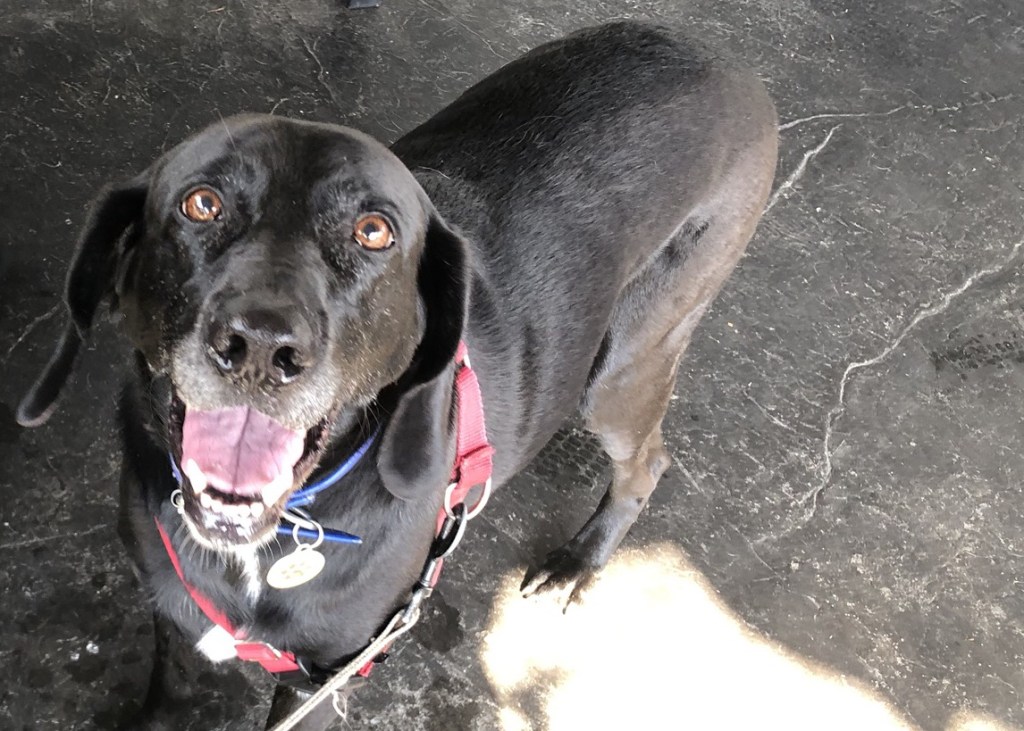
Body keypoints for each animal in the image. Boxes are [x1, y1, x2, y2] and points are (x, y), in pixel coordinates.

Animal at [17, 21, 777, 730]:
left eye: (374, 232)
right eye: (201, 204)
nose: (260, 348)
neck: (271, 542)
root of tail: (725, 65)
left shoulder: (323, 678)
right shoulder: (172, 621)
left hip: (623, 368)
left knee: (648, 462)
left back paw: (578, 562)